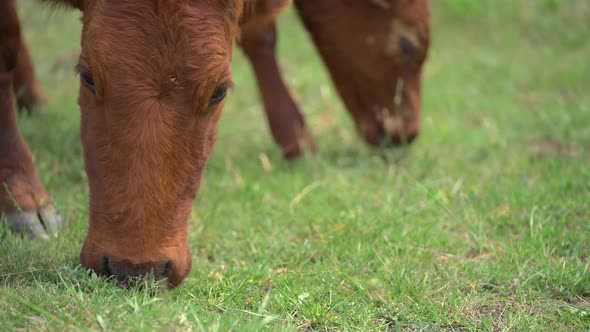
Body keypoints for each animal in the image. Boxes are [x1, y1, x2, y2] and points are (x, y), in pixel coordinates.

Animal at [2, 0, 432, 286]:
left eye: (219, 90)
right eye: (87, 77)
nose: (136, 268)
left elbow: (260, 32)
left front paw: (295, 137)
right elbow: (7, 41)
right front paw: (24, 199)